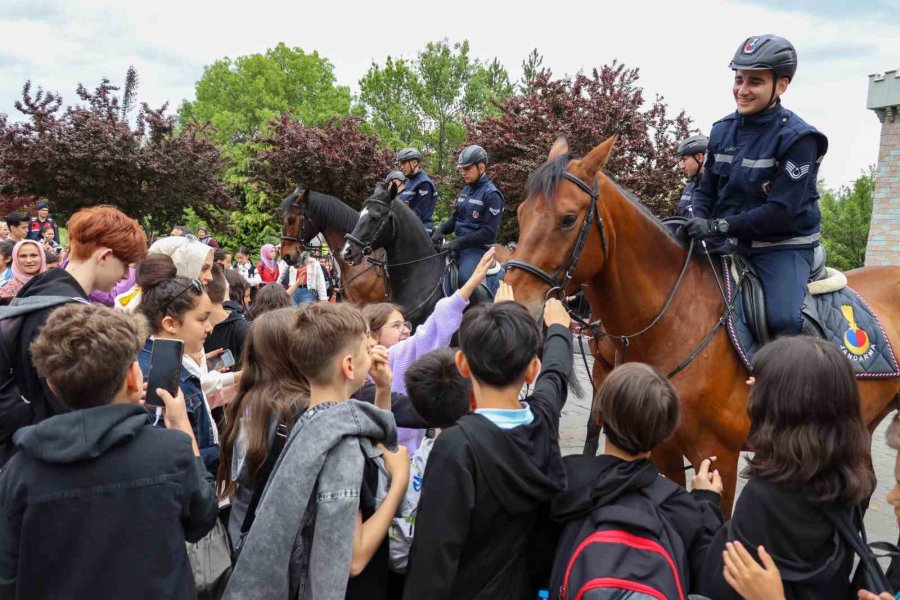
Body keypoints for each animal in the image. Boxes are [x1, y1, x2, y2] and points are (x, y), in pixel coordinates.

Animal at [506, 136, 900, 516]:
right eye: (522, 213)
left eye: (568, 219)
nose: (515, 302)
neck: (677, 318)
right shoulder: (664, 447)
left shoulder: (717, 456)